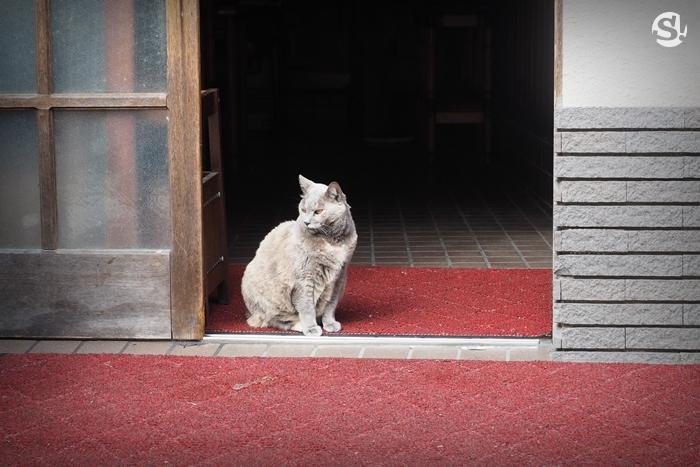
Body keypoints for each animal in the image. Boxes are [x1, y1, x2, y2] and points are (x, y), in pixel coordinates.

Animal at [242, 176, 358, 336]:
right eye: (303, 210)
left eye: (318, 211)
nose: (306, 222)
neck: (331, 241)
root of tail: (250, 313)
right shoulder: (305, 279)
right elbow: (307, 307)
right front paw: (311, 328)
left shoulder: (339, 278)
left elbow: (330, 305)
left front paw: (330, 323)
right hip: (270, 296)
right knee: (274, 319)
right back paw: (300, 325)